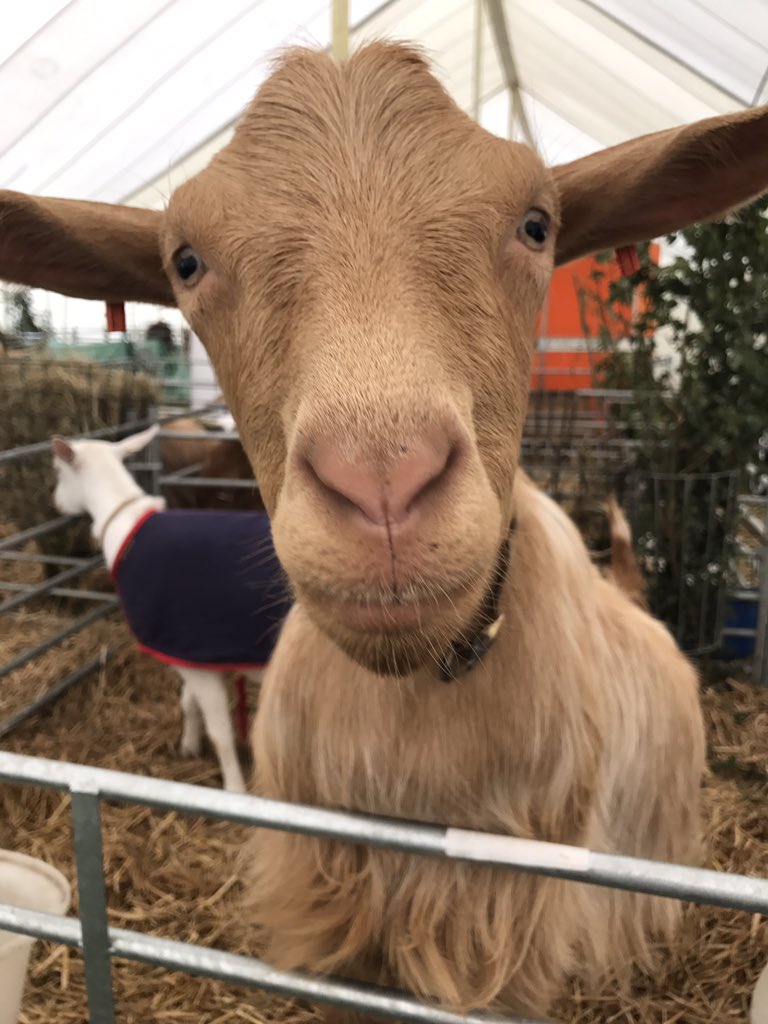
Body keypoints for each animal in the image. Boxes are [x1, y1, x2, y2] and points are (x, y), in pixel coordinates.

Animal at [50, 426, 290, 792]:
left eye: (59, 472)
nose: (57, 505)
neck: (126, 522)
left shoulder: (193, 649)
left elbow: (221, 735)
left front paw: (235, 789)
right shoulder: (190, 650)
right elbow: (187, 702)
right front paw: (188, 746)